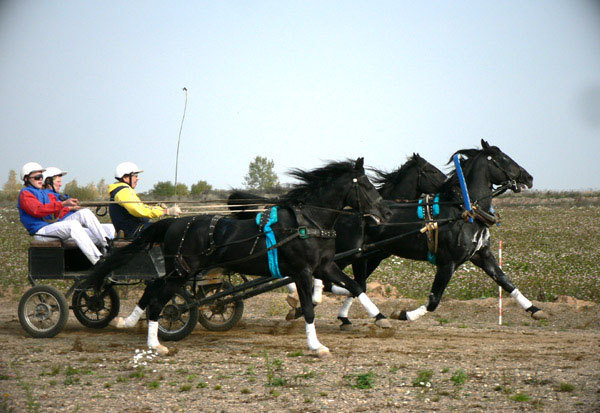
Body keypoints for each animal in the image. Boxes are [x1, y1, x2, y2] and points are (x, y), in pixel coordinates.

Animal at [88, 158, 390, 354]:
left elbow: (356, 286)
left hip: (178, 271)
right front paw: (316, 345)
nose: (386, 212)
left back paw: (129, 321)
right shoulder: (302, 271)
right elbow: (308, 308)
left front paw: (382, 319)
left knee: (153, 289)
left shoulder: (325, 266)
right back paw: (155, 341)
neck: (308, 222)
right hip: (181, 271)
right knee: (159, 299)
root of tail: (173, 223)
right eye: (365, 185)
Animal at [336, 139, 548, 326]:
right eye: (502, 158)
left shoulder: (481, 255)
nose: (528, 178)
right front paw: (404, 314)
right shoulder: (447, 263)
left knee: (356, 283)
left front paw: (535, 310)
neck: (464, 211)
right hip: (353, 255)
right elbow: (434, 301)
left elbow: (505, 281)